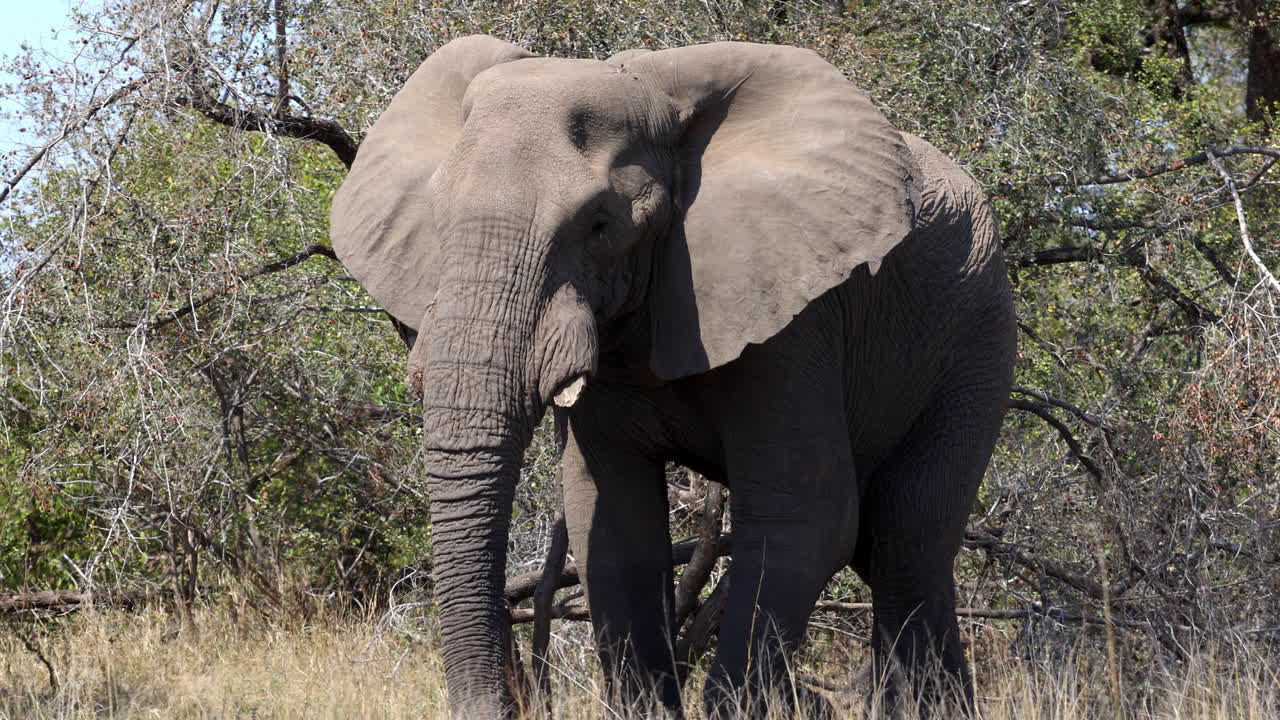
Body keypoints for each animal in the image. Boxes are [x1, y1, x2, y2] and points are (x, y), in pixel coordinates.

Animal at [329, 35, 1015, 718]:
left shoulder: (796, 315)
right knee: (894, 550)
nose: (505, 701)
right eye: (437, 220)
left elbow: (804, 520)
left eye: (600, 225)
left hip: (976, 334)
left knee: (906, 537)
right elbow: (612, 525)